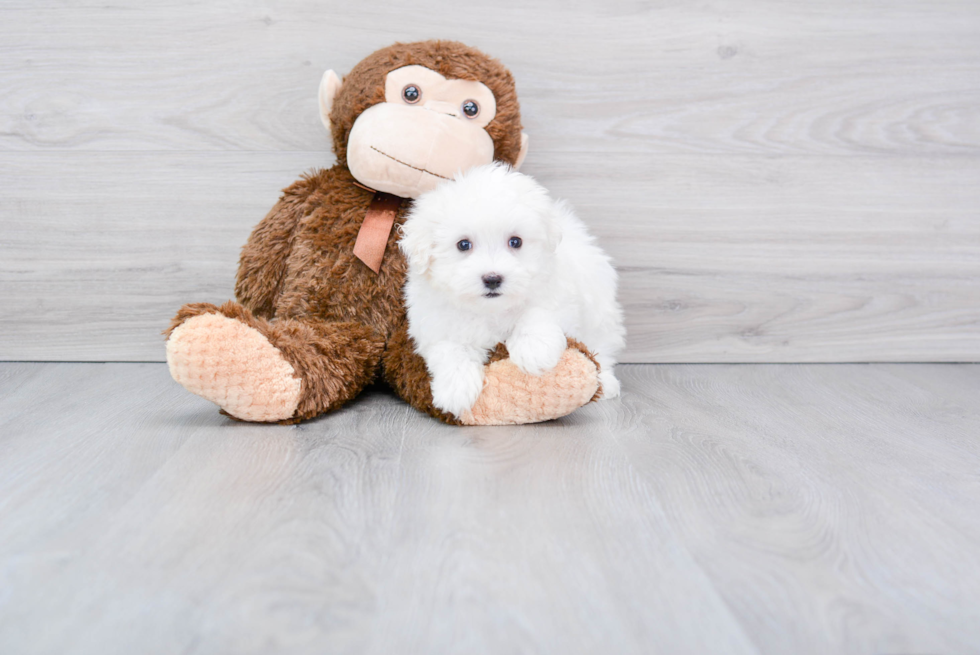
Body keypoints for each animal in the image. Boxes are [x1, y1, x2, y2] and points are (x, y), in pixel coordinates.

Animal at [396, 167, 620, 418]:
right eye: (463, 244)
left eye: (515, 242)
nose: (493, 279)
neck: (490, 310)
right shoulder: (434, 325)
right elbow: (449, 350)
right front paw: (456, 388)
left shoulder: (558, 295)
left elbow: (536, 313)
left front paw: (534, 350)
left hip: (598, 306)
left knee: (602, 346)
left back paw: (607, 382)